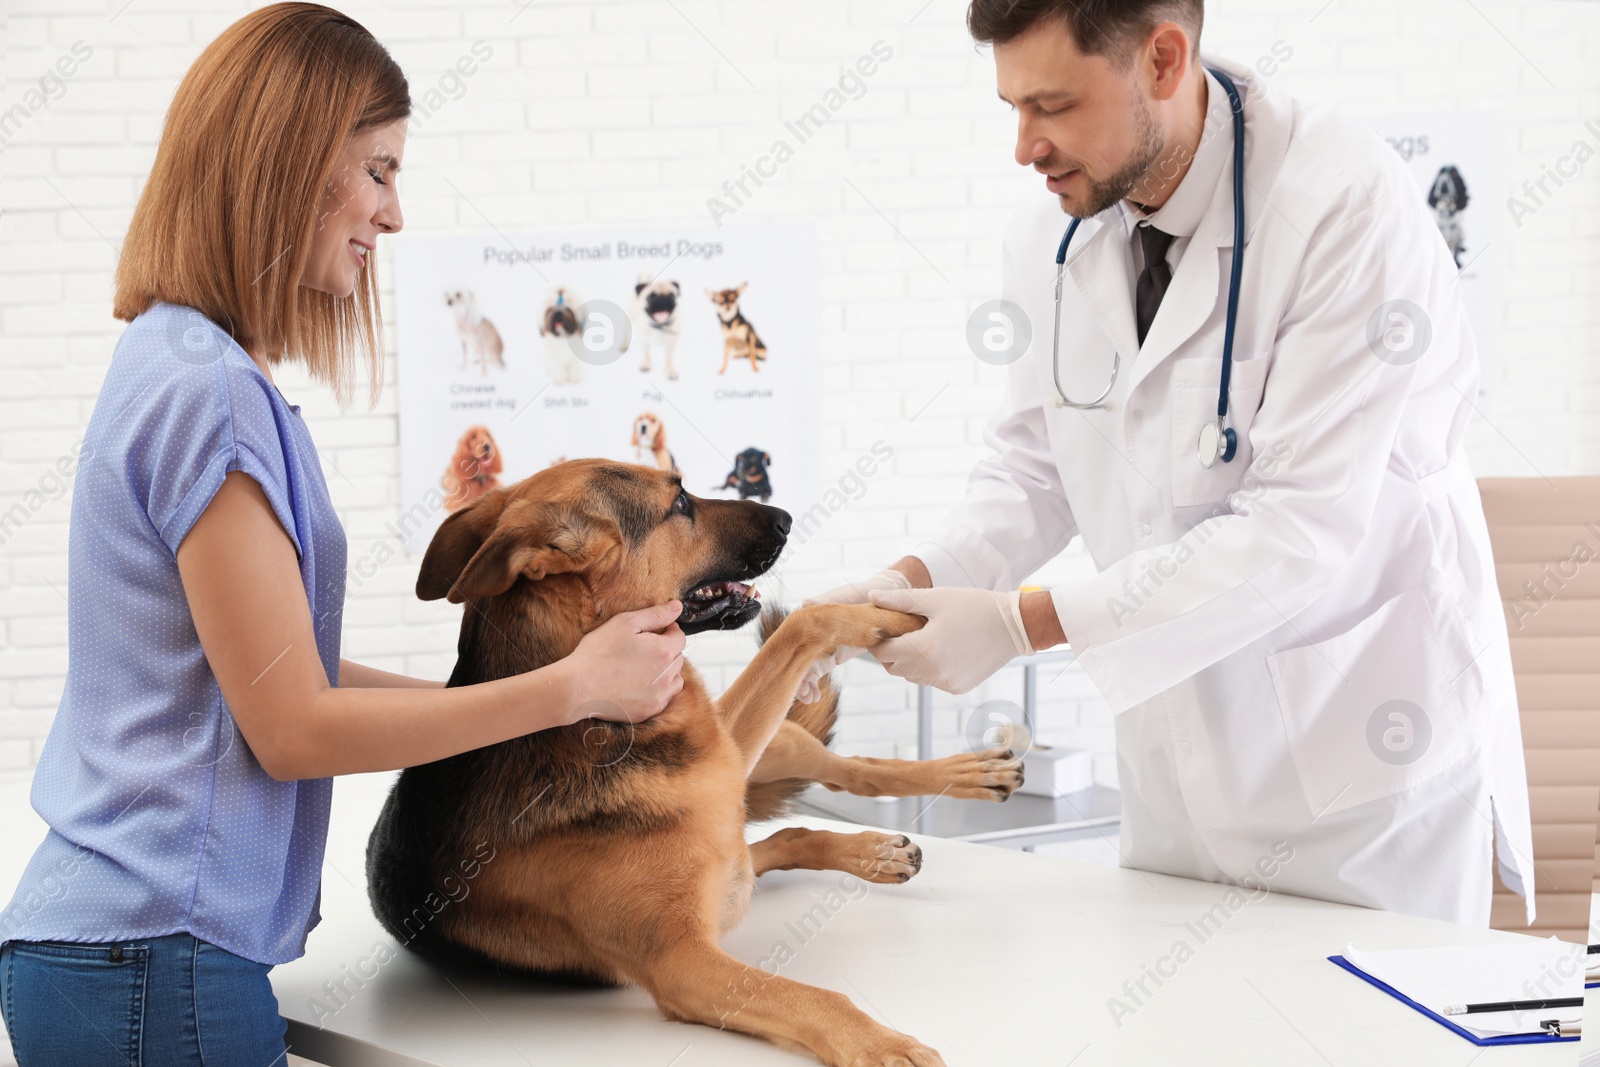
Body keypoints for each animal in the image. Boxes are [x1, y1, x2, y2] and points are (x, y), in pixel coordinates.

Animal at [366, 463, 1024, 1067]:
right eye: (680, 503)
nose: (786, 518)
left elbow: (808, 622)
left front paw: (930, 615)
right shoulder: (683, 962)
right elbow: (817, 997)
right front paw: (884, 1045)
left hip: (760, 747)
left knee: (842, 772)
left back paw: (960, 781)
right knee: (775, 840)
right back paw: (877, 847)